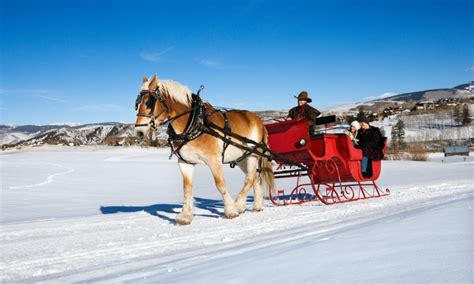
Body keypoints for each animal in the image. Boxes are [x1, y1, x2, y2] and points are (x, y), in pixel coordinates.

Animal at [133, 74, 274, 225]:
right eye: (137, 103)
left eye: (149, 102)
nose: (139, 132)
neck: (195, 122)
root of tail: (259, 121)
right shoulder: (185, 163)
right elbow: (187, 188)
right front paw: (185, 216)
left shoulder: (214, 160)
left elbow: (220, 184)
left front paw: (230, 210)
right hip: (242, 158)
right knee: (254, 178)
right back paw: (257, 205)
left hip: (252, 155)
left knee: (250, 178)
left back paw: (239, 204)